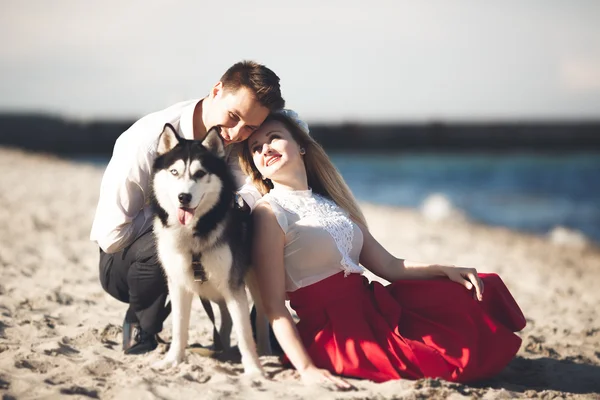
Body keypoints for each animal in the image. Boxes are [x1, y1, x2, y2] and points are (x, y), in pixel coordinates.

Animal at [150, 124, 268, 376]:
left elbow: (244, 333)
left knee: (263, 315)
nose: (183, 197)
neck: (194, 232)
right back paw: (220, 349)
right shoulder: (178, 283)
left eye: (200, 173)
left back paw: (263, 350)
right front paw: (172, 360)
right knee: (225, 315)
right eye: (174, 172)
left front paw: (254, 371)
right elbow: (179, 326)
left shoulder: (233, 284)